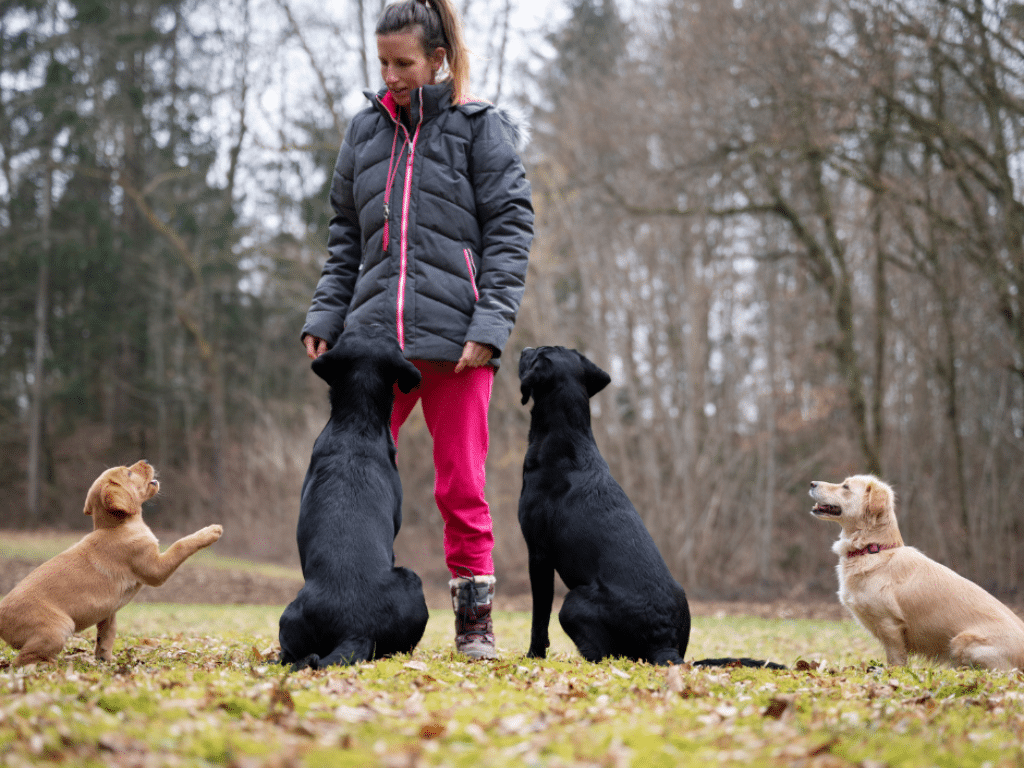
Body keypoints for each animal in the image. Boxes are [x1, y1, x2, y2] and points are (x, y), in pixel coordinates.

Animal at [0, 462, 222, 667]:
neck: (117, 526)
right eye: (129, 473)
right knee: (23, 660)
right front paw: (210, 532)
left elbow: (107, 635)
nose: (146, 461)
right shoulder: (155, 569)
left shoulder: (108, 611)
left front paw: (105, 660)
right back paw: (56, 664)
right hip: (58, 628)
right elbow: (181, 545)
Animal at [520, 346, 782, 671]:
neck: (567, 438)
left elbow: (538, 620)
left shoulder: (539, 554)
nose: (524, 349)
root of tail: (665, 645)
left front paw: (533, 656)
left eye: (537, 353)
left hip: (572, 602)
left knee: (601, 654)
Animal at [806, 479, 1024, 671]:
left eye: (845, 486)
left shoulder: (890, 625)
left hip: (962, 641)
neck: (872, 549)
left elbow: (896, 660)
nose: (812, 483)